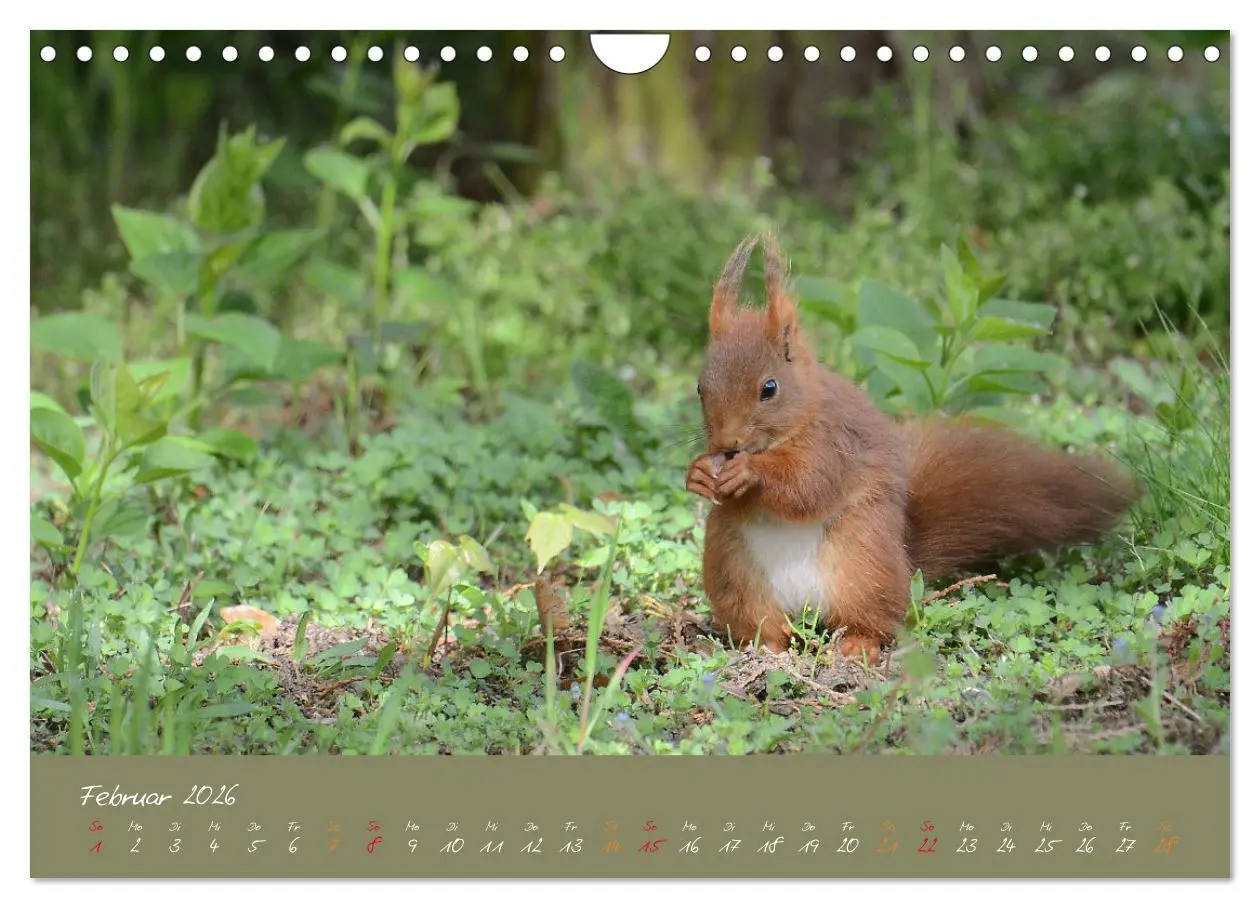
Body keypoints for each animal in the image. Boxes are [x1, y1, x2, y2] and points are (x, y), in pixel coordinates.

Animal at [685, 232, 1139, 663]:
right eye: (700, 388)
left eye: (769, 388)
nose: (726, 443)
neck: (798, 419)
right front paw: (699, 474)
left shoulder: (836, 445)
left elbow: (807, 486)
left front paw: (750, 473)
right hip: (734, 569)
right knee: (764, 622)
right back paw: (766, 647)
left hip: (862, 560)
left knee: (873, 620)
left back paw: (856, 646)